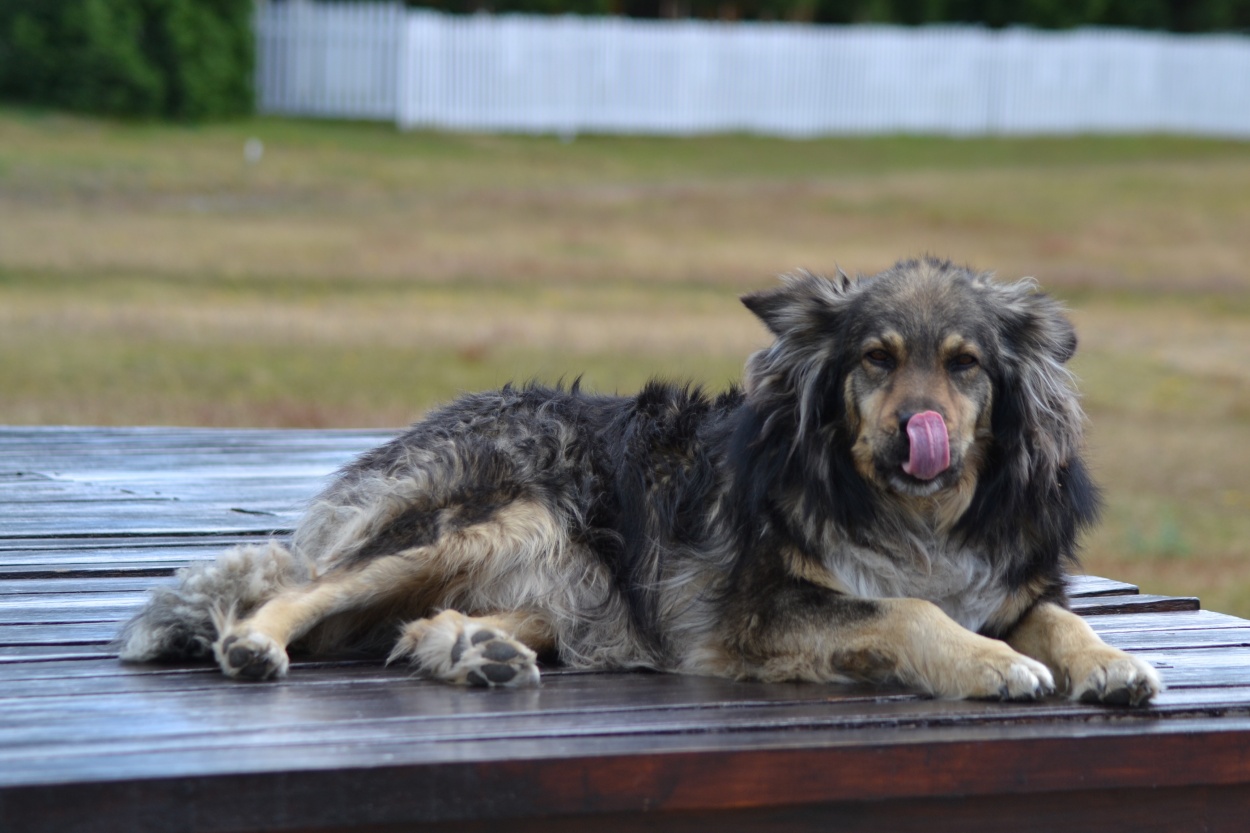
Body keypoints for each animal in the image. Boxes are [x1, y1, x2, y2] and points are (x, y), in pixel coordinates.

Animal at [119, 256, 1160, 705]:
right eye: (875, 359)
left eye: (965, 366)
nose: (918, 433)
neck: (917, 517)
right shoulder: (761, 612)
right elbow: (906, 612)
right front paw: (986, 662)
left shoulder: (1006, 585)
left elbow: (1055, 618)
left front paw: (1110, 660)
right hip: (496, 520)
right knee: (305, 590)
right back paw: (256, 643)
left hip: (586, 587)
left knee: (414, 625)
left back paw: (476, 652)